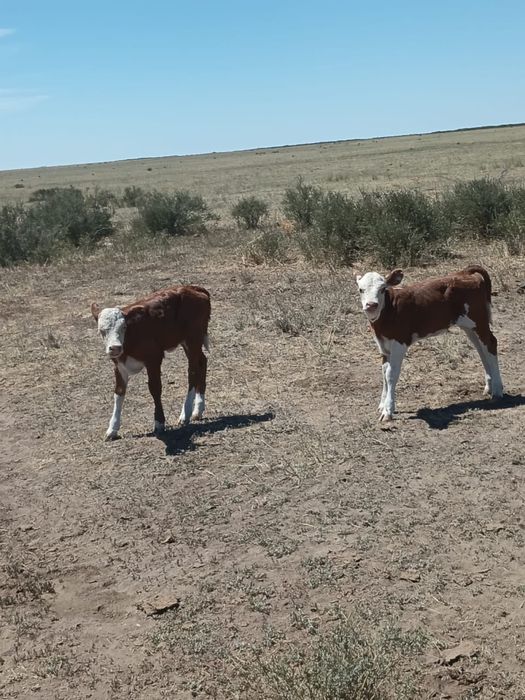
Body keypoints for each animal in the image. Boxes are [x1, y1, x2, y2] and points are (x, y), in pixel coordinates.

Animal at [91, 285, 210, 440]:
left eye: (124, 327)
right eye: (102, 330)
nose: (115, 347)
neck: (131, 337)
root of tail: (194, 288)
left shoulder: (154, 358)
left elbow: (155, 389)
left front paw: (159, 423)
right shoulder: (119, 365)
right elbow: (119, 392)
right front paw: (112, 428)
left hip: (193, 338)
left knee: (193, 371)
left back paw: (186, 413)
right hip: (189, 341)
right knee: (202, 362)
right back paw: (198, 410)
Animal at [355, 265, 504, 421]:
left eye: (383, 289)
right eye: (361, 289)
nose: (371, 305)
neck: (389, 311)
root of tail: (464, 272)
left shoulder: (399, 343)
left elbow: (391, 374)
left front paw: (388, 410)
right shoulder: (383, 345)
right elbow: (384, 373)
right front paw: (382, 405)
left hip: (479, 320)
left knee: (491, 344)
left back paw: (497, 390)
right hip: (469, 326)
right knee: (481, 349)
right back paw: (489, 386)